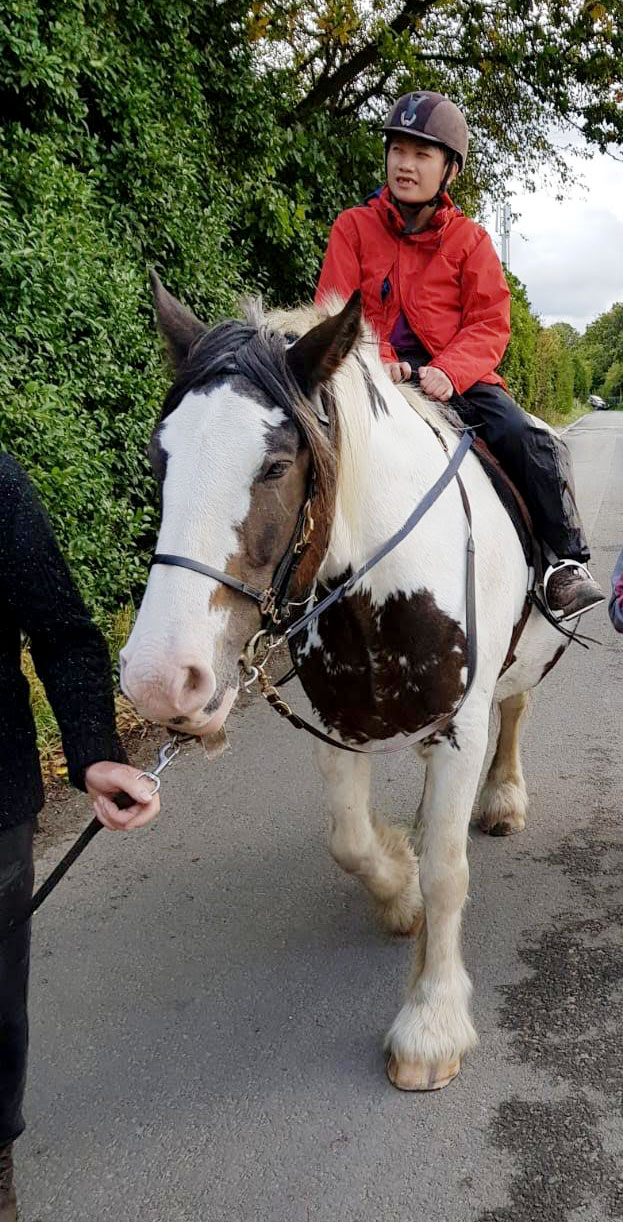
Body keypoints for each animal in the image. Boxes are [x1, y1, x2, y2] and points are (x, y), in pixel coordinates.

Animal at [120, 281, 569, 1094]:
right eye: (159, 457)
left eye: (275, 466)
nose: (160, 680)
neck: (383, 586)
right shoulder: (336, 720)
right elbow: (351, 841)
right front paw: (399, 889)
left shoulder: (462, 728)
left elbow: (449, 872)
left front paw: (430, 1024)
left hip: (522, 665)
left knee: (514, 713)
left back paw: (502, 800)